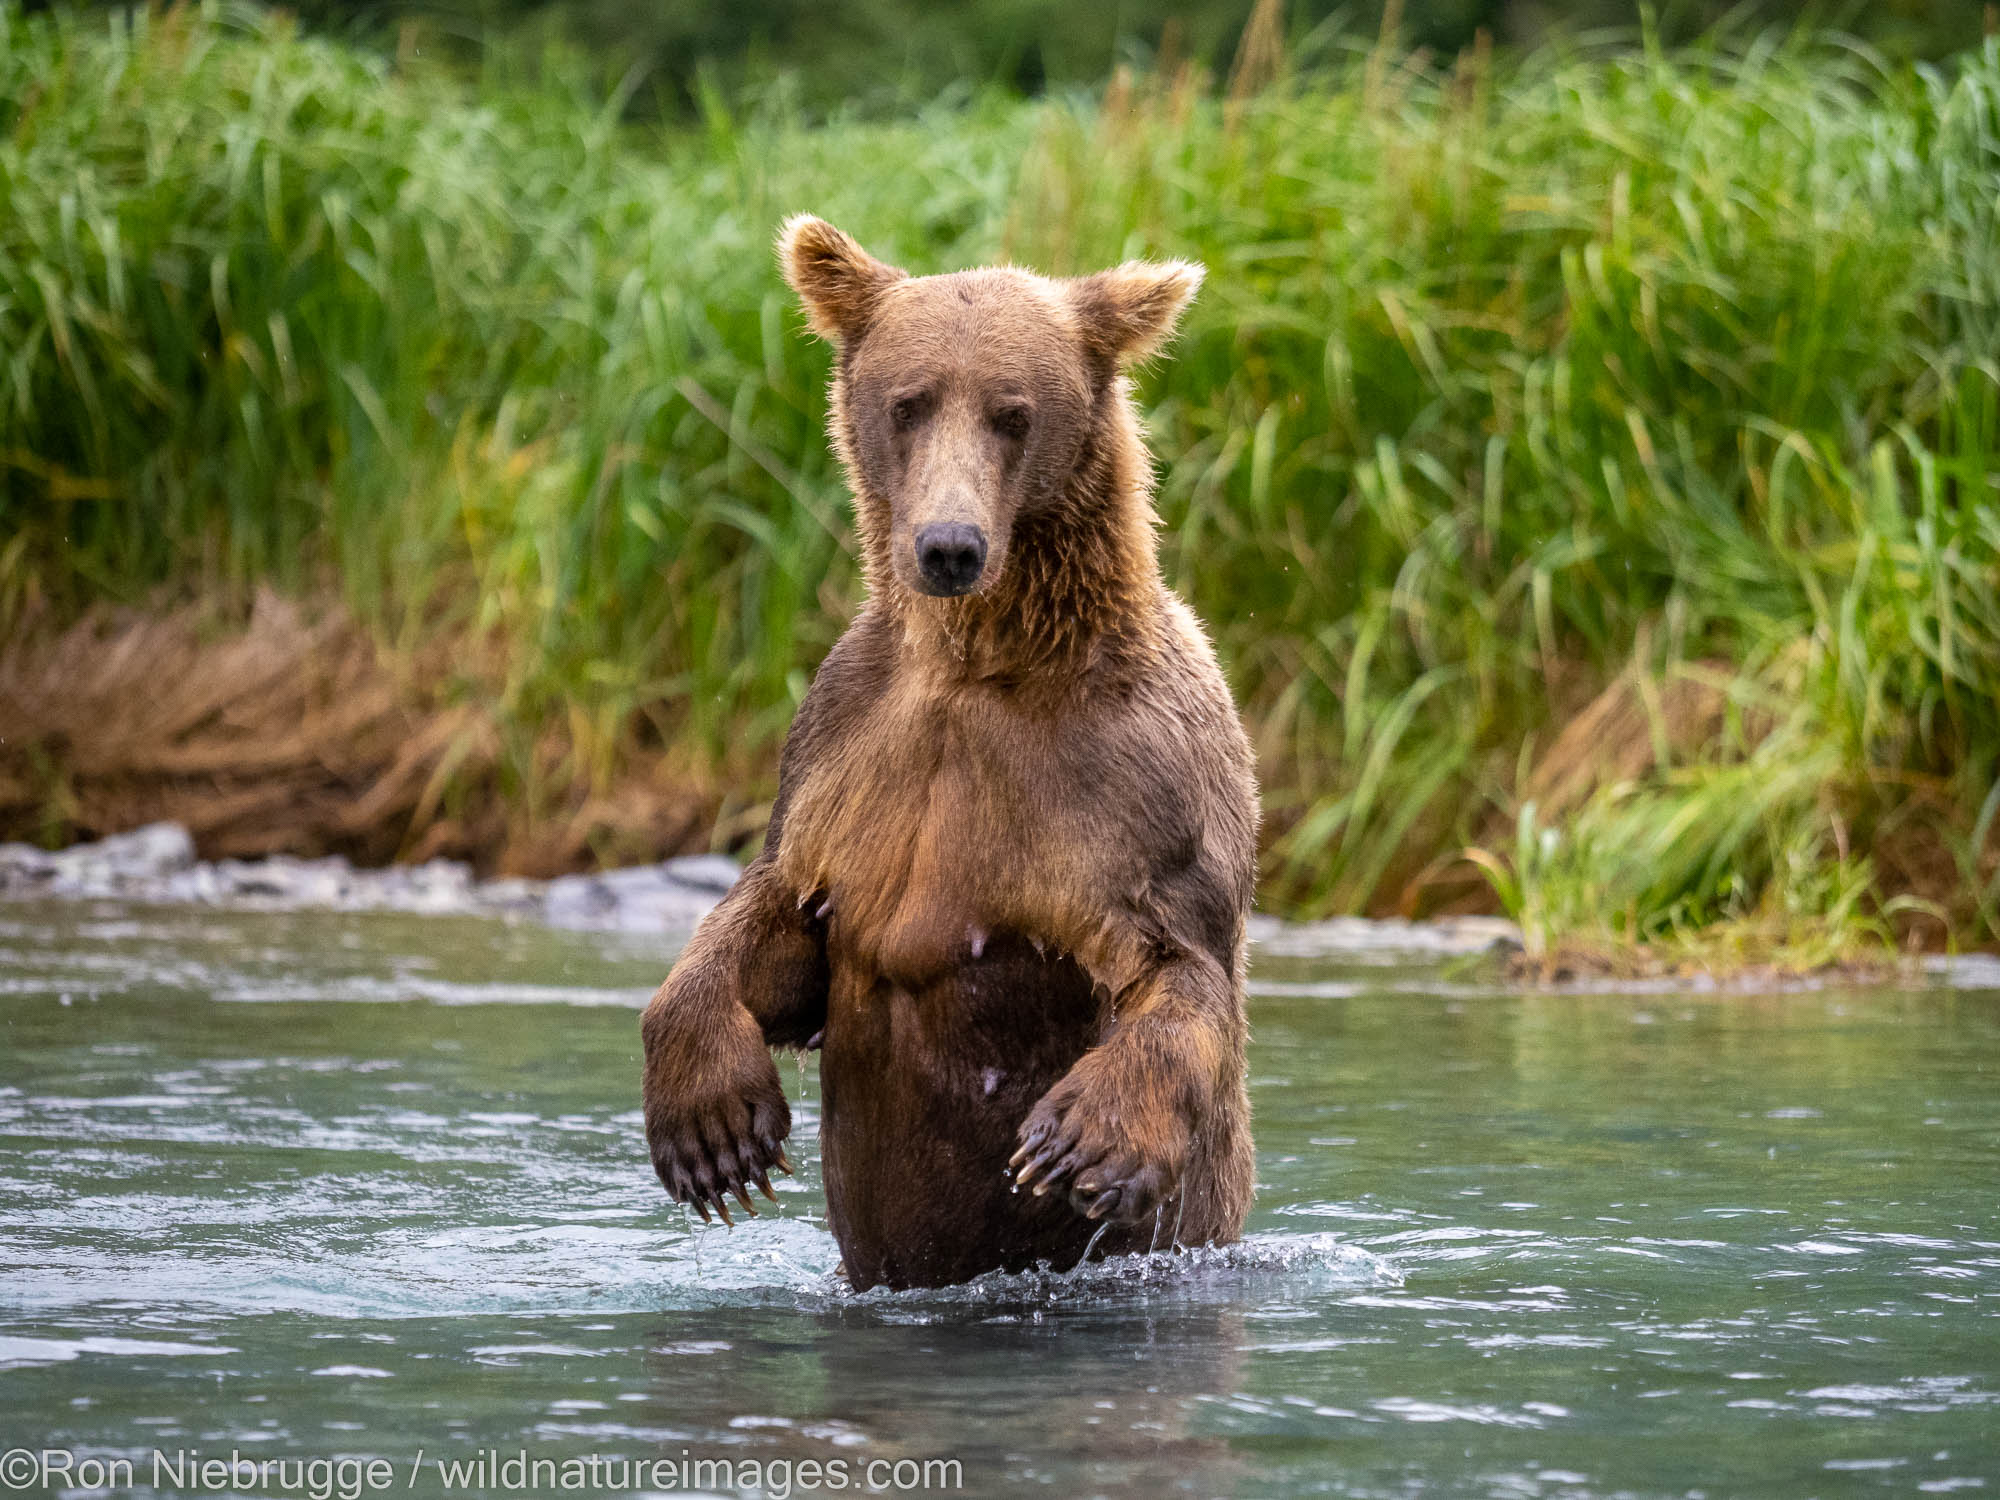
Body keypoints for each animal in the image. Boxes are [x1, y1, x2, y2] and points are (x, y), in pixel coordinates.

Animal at [640, 214, 1256, 1296]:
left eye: (1012, 413)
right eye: (909, 402)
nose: (949, 546)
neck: (975, 662)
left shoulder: (1137, 781)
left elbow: (1175, 970)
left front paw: (1079, 1143)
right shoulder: (843, 745)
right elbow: (775, 926)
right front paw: (711, 1130)